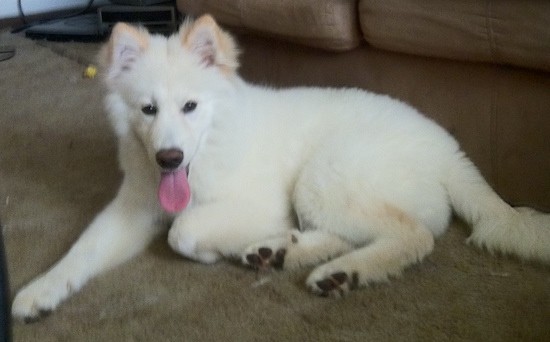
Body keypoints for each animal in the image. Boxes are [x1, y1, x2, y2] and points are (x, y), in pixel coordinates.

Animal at [12, 15, 550, 320]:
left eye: (190, 107)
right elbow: (81, 251)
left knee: (414, 235)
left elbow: (182, 230)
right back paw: (285, 252)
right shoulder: (132, 210)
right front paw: (40, 291)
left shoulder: (259, 202)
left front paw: (210, 250)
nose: (169, 158)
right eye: (148, 109)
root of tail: (448, 148)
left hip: (323, 176)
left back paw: (338, 271)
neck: (210, 147)